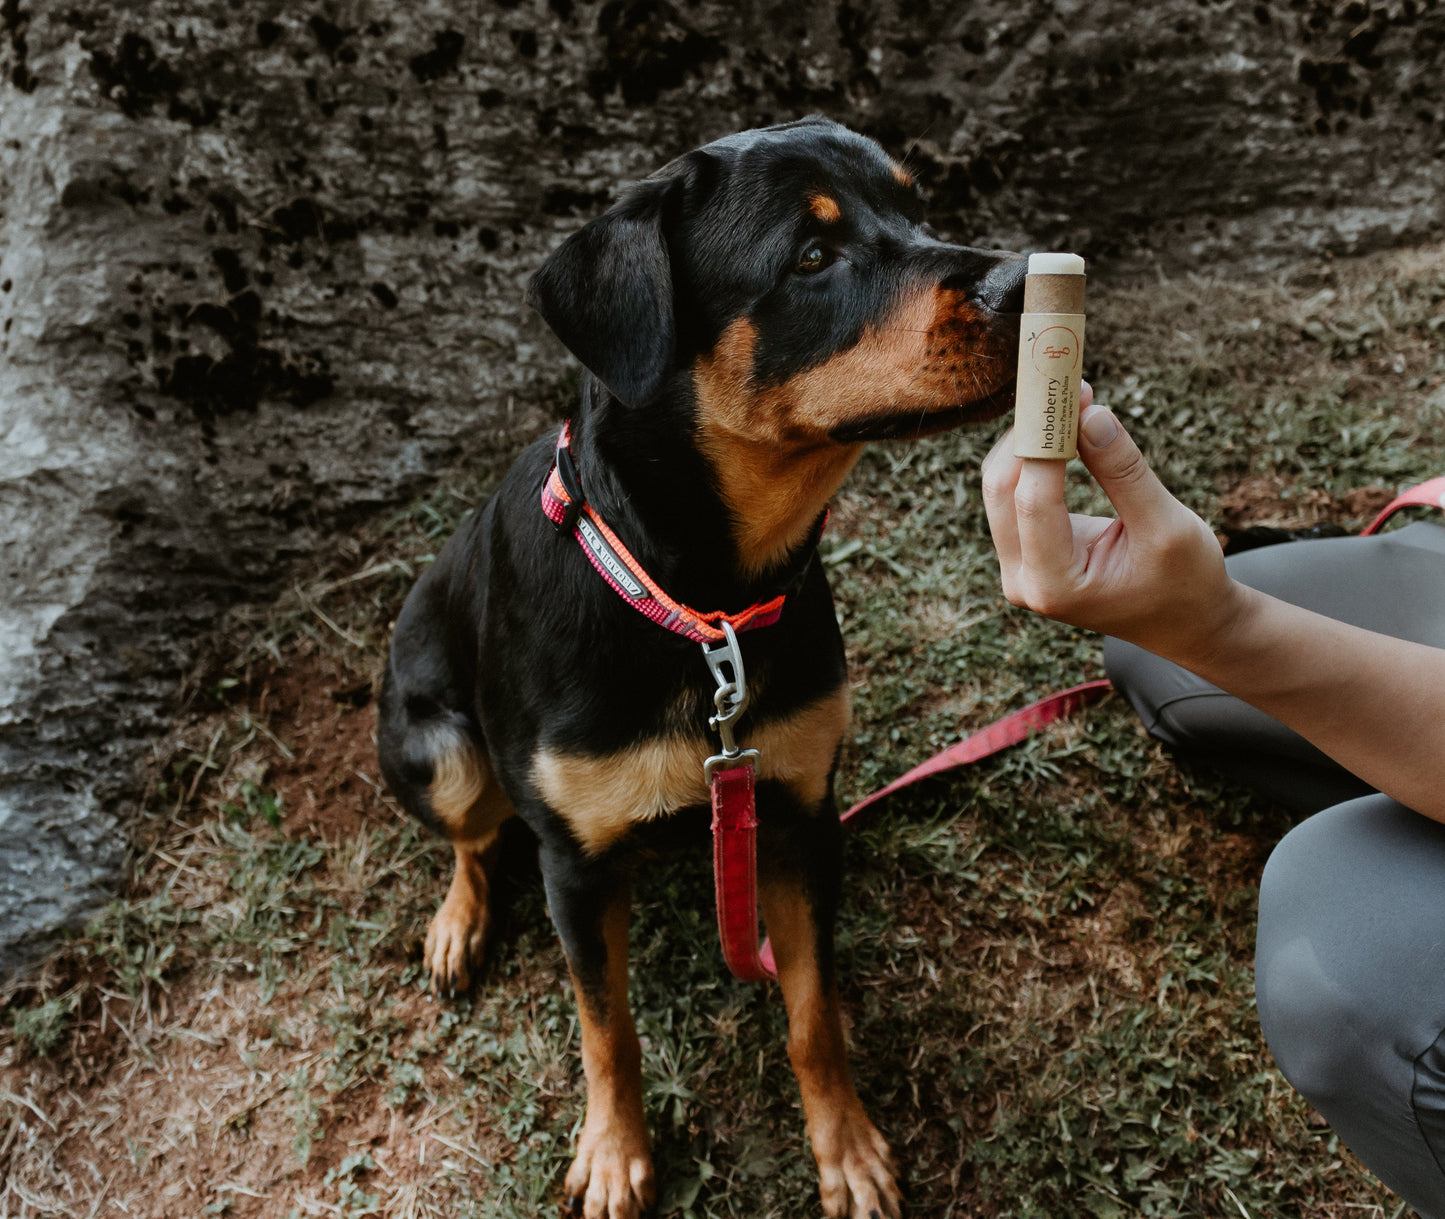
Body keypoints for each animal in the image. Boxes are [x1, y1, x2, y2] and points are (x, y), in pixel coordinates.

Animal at [378, 116, 1023, 1219]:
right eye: (810, 256)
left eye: (915, 207)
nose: (1025, 280)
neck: (703, 602)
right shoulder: (576, 864)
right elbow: (607, 1030)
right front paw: (613, 1153)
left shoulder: (799, 815)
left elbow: (809, 1016)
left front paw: (845, 1150)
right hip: (438, 745)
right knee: (472, 836)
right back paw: (458, 924)